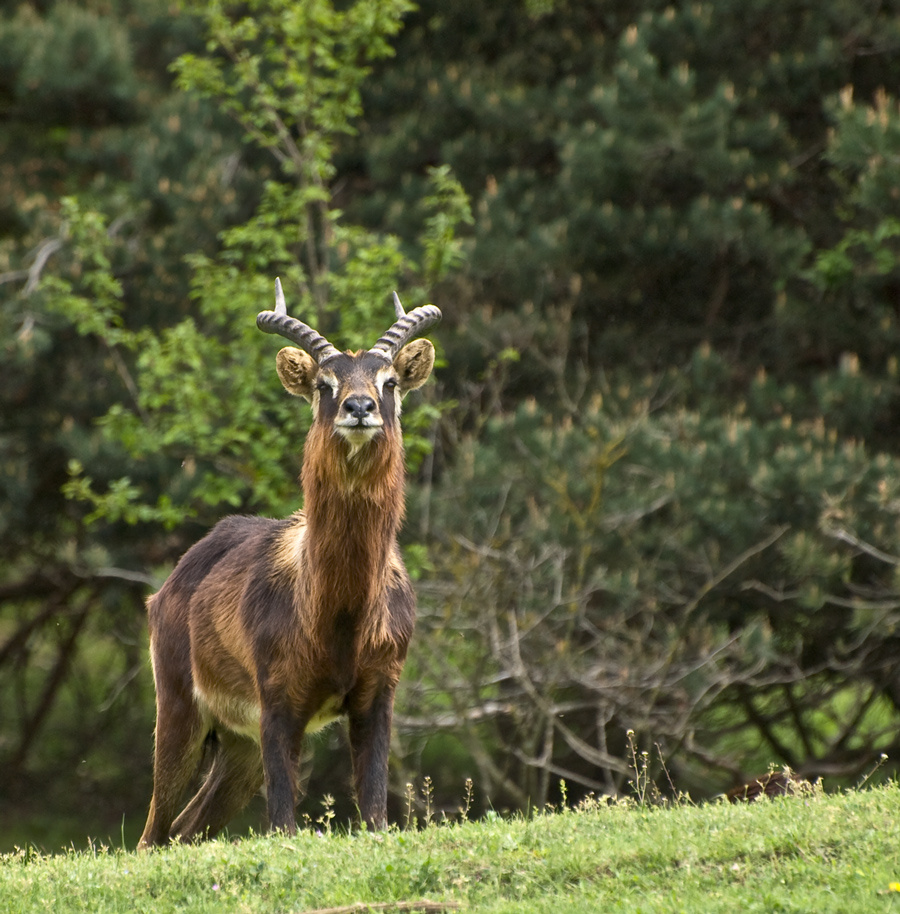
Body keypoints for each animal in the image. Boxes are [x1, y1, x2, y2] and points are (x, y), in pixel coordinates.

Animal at [136, 280, 440, 848]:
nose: (359, 406)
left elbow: (375, 810)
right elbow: (282, 819)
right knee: (153, 834)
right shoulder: (278, 695)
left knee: (187, 829)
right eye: (324, 383)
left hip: (239, 745)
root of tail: (163, 591)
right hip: (180, 706)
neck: (337, 617)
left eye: (389, 381)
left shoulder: (378, 690)